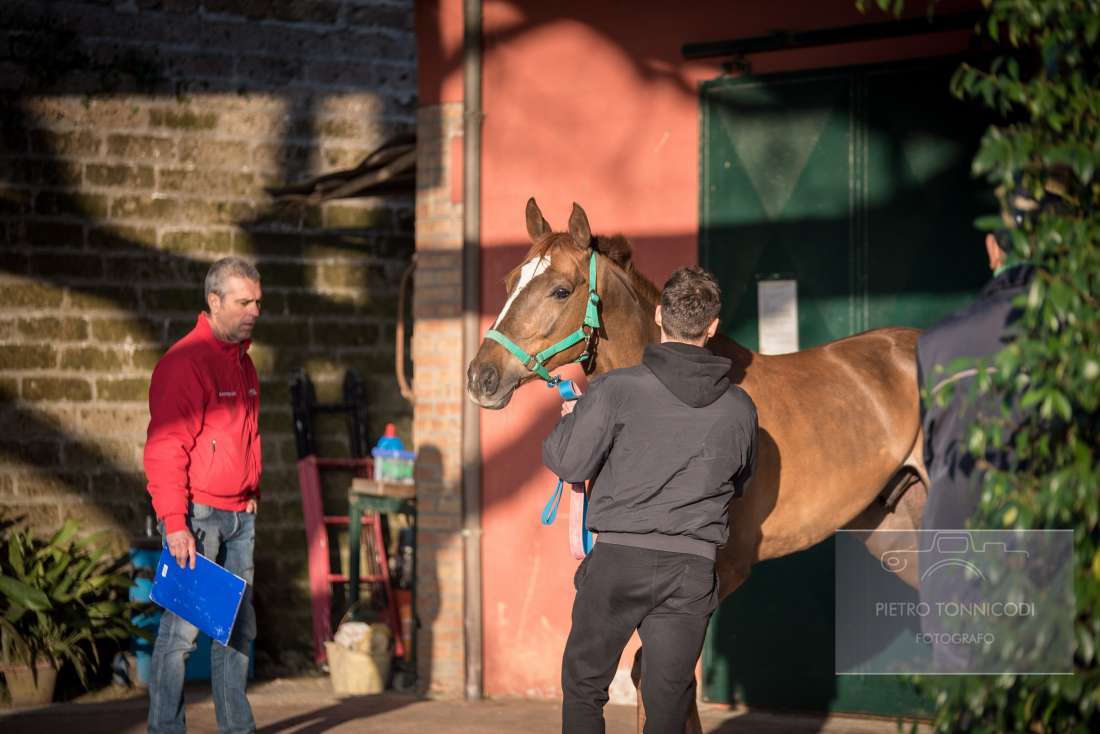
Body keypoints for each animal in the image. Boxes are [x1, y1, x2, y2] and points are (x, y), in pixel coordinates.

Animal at [464, 201, 928, 734]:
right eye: (509, 281)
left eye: (560, 289)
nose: (481, 377)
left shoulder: (719, 574)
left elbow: (667, 677)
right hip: (899, 531)